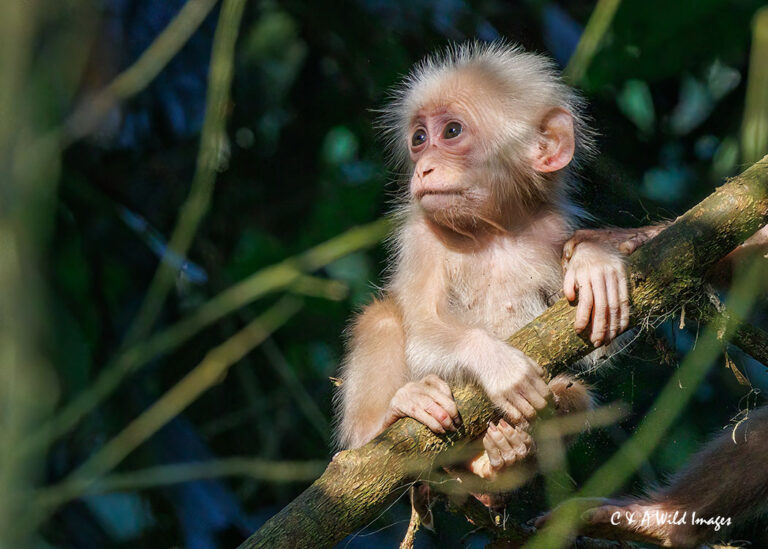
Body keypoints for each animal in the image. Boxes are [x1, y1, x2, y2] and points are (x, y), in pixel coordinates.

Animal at [333, 42, 631, 483]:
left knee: (572, 394)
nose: (423, 168)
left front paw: (592, 262)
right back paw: (388, 417)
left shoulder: (550, 227)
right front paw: (496, 363)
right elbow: (424, 331)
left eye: (451, 132)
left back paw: (499, 460)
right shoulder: (421, 236)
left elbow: (598, 343)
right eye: (419, 138)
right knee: (383, 317)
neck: (493, 231)